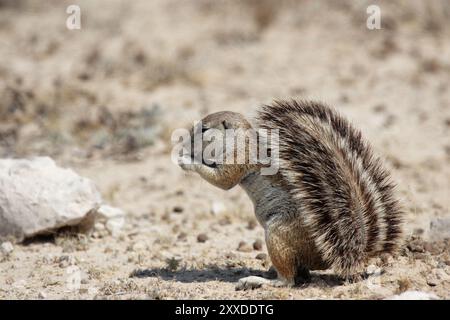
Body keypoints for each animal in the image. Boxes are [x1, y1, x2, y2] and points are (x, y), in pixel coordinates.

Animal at [178, 100, 402, 290]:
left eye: (204, 129)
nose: (183, 145)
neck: (239, 139)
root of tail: (352, 253)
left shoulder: (239, 158)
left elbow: (223, 180)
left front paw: (186, 160)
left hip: (278, 234)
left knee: (288, 280)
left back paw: (260, 281)